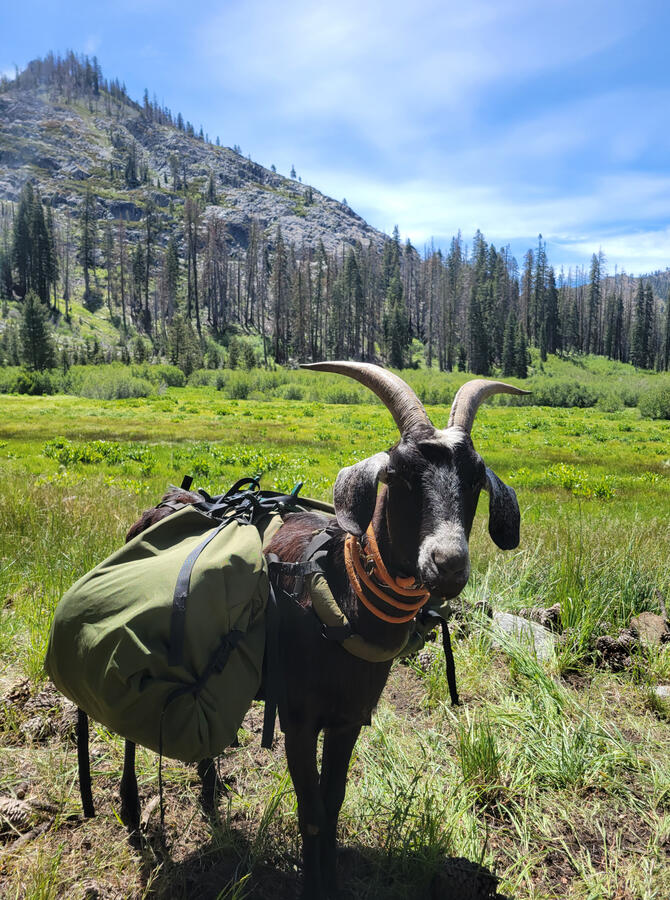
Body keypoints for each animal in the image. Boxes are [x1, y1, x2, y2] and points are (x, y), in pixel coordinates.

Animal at [117, 363, 526, 899]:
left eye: (477, 478)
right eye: (398, 474)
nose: (448, 564)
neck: (337, 592)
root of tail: (168, 502)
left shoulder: (347, 718)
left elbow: (332, 801)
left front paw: (330, 878)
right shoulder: (298, 716)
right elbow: (309, 806)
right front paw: (313, 884)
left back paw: (207, 793)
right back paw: (129, 809)